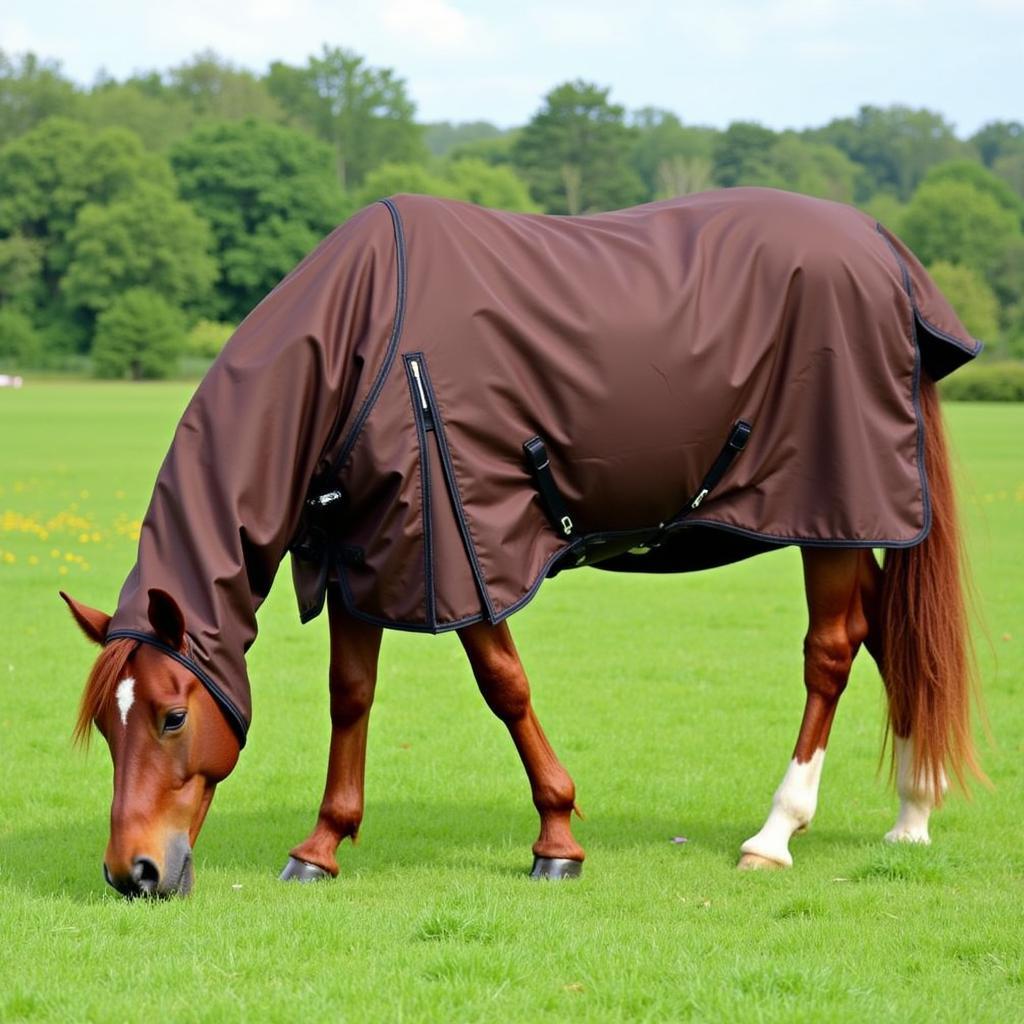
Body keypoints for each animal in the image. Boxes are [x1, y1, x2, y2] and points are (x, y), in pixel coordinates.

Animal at [61, 188, 983, 892]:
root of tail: (883, 251)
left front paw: (558, 840)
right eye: (106, 726)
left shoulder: (467, 548)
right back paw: (913, 813)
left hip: (831, 513)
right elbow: (350, 696)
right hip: (846, 522)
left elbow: (504, 686)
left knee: (833, 651)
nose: (132, 873)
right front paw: (321, 848)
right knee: (893, 638)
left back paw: (776, 833)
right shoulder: (363, 553)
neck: (368, 342)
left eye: (174, 717)